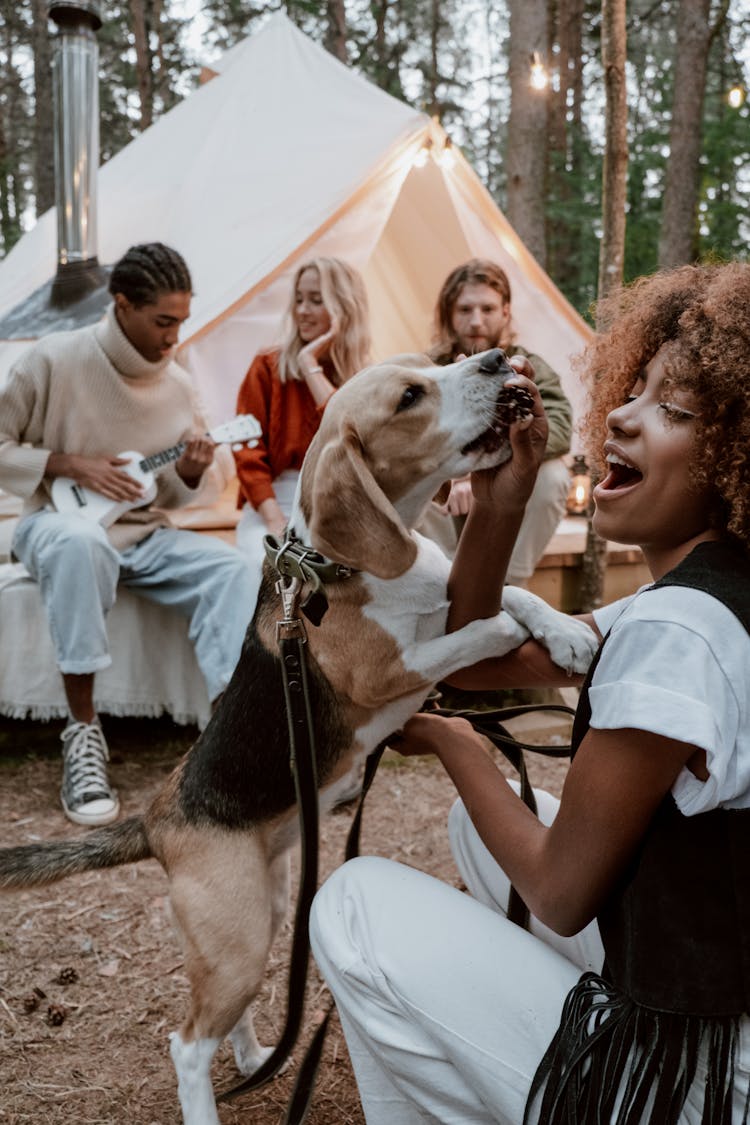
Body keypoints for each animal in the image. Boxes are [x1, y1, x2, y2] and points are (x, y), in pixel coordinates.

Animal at [0, 348, 598, 1125]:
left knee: (226, 1021)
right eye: (411, 396)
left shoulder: (448, 605)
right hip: (240, 937)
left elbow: (515, 599)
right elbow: (484, 628)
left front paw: (565, 635)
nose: (498, 358)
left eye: (431, 364)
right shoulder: (394, 670)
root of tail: (159, 815)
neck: (341, 567)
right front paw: (524, 631)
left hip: (267, 905)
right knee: (185, 1043)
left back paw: (256, 1056)